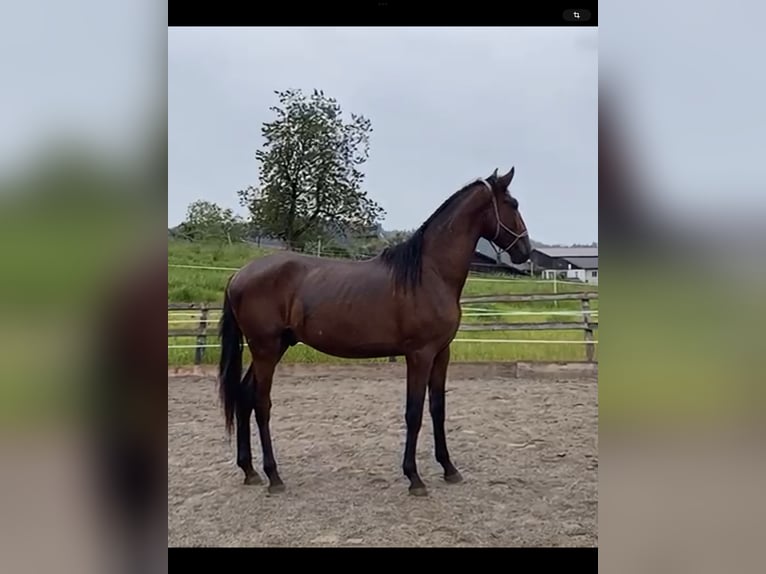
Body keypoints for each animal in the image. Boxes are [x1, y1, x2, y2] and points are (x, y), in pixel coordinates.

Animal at [219, 165, 532, 496]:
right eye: (512, 204)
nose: (525, 251)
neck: (429, 273)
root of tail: (238, 276)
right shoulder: (419, 355)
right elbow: (413, 412)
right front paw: (414, 477)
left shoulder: (441, 353)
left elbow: (438, 408)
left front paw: (449, 469)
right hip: (265, 348)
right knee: (261, 404)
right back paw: (273, 476)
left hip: (273, 348)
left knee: (244, 396)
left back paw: (250, 471)